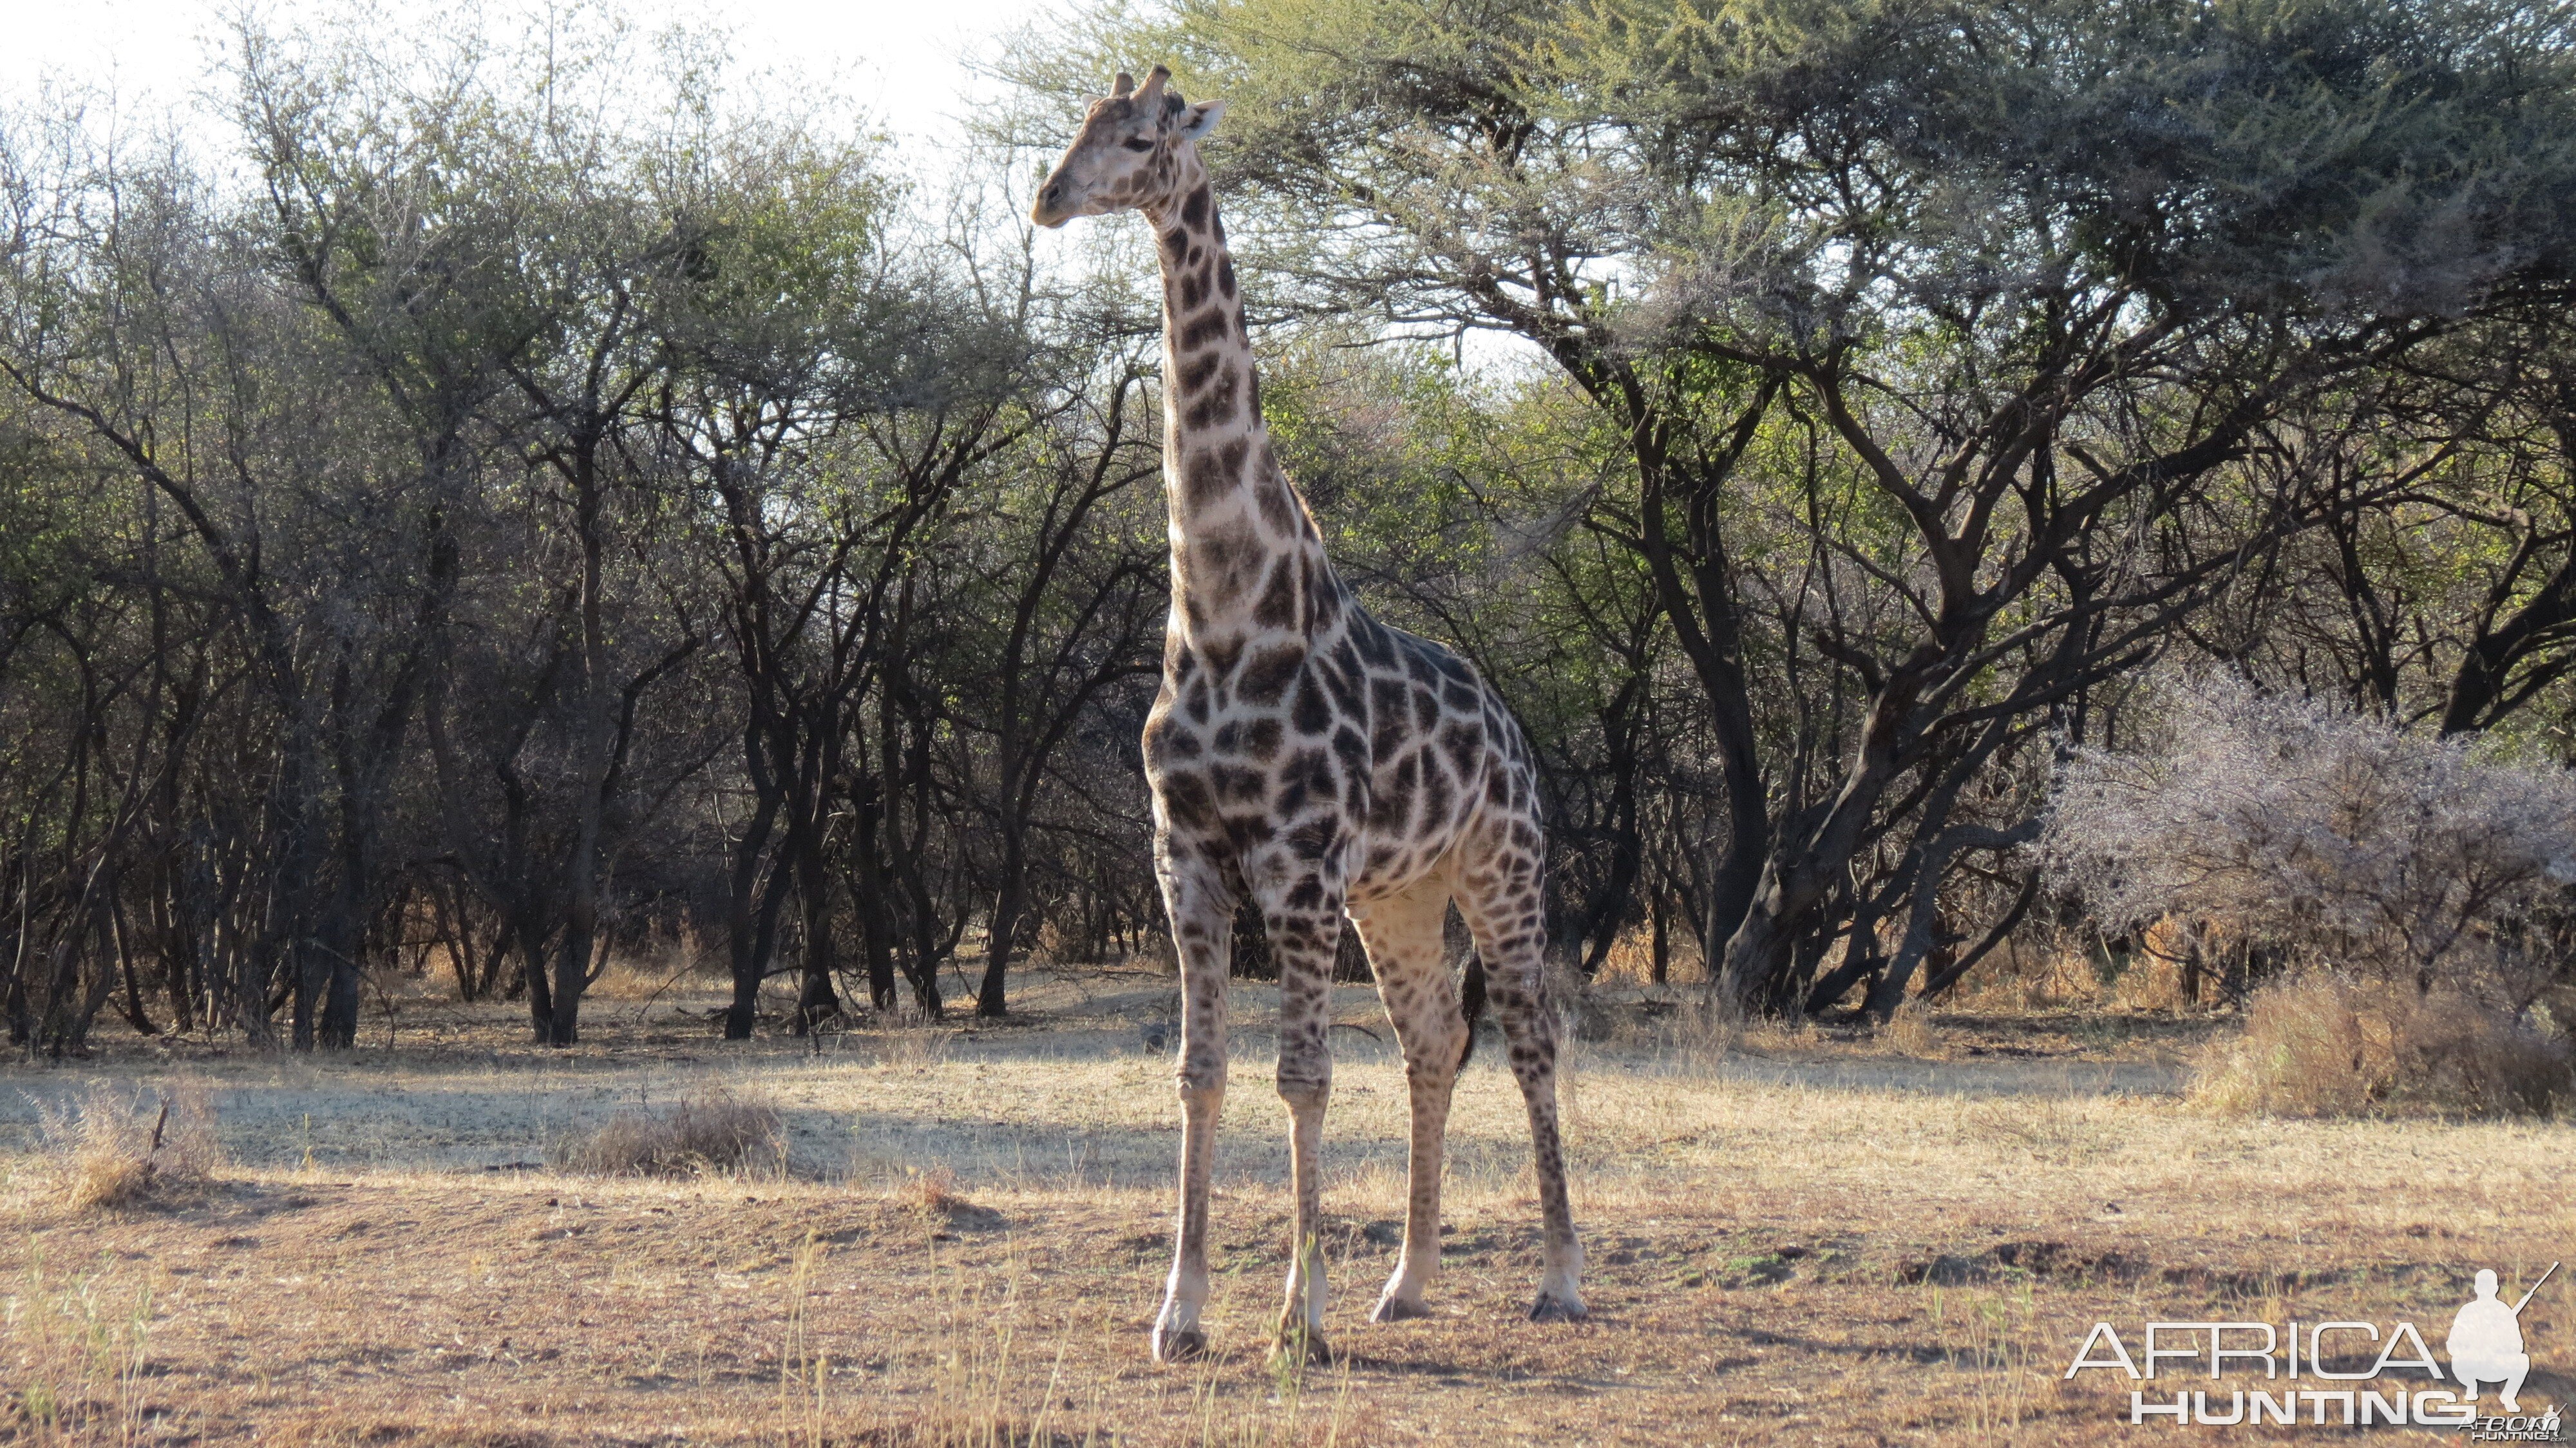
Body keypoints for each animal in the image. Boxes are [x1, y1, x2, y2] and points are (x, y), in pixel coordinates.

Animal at [1036, 64, 1577, 1350]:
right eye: (1074, 131)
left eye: (1142, 138)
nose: (1047, 198)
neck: (1227, 612)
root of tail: (1513, 730)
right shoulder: (1184, 854)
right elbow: (1201, 1074)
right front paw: (1181, 1314)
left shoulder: (1296, 862)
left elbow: (1305, 1077)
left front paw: (1299, 1317)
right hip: (1401, 893)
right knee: (1434, 1037)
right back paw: (1408, 1282)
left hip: (1501, 869)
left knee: (1531, 1034)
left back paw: (1561, 1277)